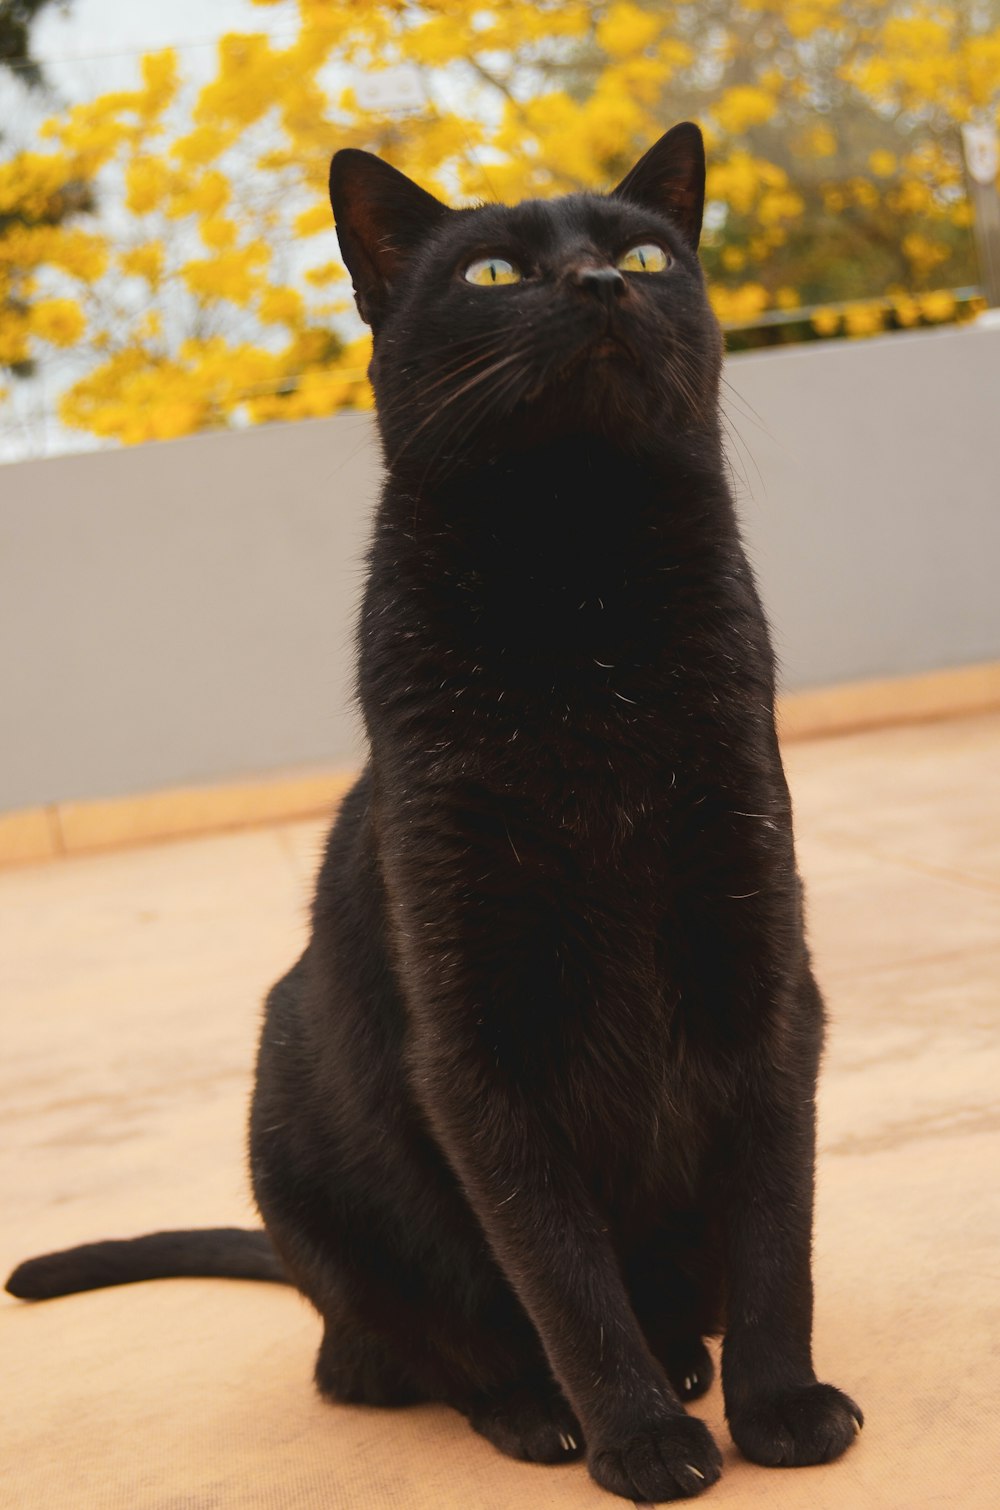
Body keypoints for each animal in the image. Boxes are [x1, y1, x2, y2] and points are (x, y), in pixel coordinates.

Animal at [7, 126, 864, 1497]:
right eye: (493, 273)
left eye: (643, 255)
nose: (597, 286)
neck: (584, 610)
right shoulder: (474, 1043)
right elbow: (559, 1270)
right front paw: (636, 1438)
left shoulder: (764, 975)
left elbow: (777, 1232)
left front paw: (778, 1403)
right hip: (295, 1101)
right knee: (394, 1351)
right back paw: (536, 1408)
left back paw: (686, 1357)